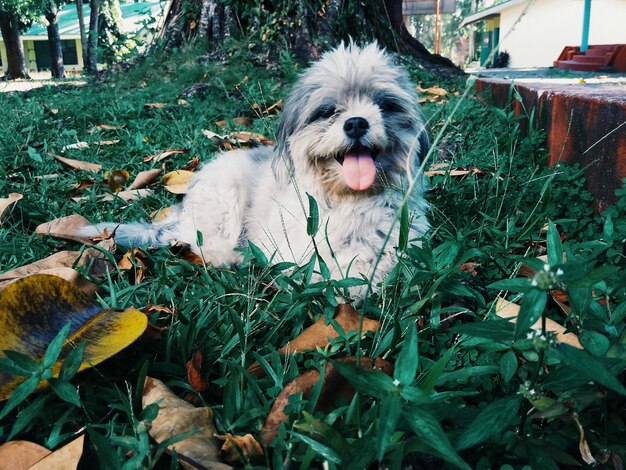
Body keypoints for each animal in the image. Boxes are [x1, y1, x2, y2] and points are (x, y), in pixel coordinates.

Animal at [81, 44, 428, 302]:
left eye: (385, 106)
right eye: (328, 111)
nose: (356, 123)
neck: (348, 200)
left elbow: (385, 265)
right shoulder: (300, 252)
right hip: (226, 196)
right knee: (199, 242)